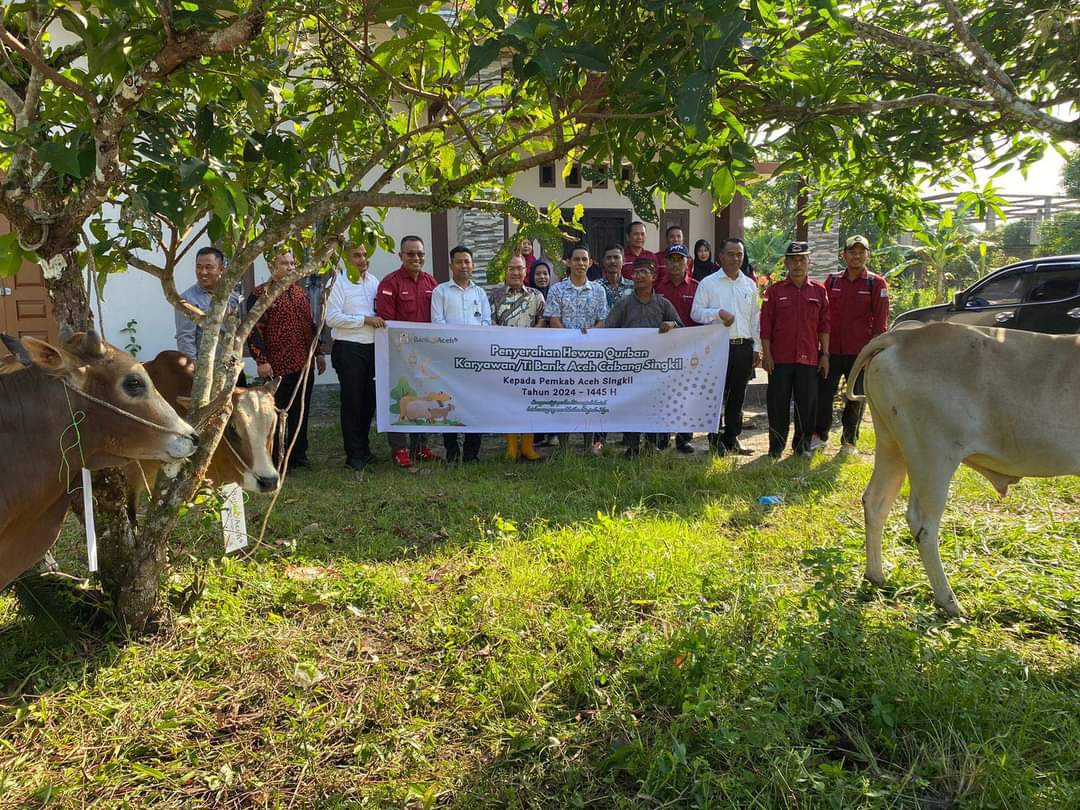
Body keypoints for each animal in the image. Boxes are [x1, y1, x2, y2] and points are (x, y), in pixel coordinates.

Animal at [846, 321, 1080, 616]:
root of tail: (904, 335)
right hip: (933, 456)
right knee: (923, 524)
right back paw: (948, 601)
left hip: (892, 443)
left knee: (876, 501)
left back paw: (876, 575)